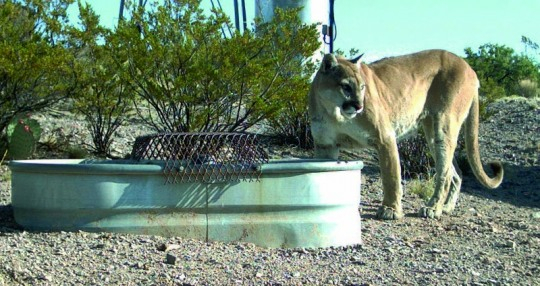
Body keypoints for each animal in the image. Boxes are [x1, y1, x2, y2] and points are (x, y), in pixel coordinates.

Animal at [310, 49, 504, 219]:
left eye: (362, 86)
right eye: (346, 87)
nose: (359, 106)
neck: (334, 112)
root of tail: (469, 68)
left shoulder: (385, 138)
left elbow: (391, 176)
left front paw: (390, 210)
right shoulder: (325, 145)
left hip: (444, 125)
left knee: (446, 173)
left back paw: (433, 208)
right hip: (432, 134)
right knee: (456, 172)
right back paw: (446, 207)